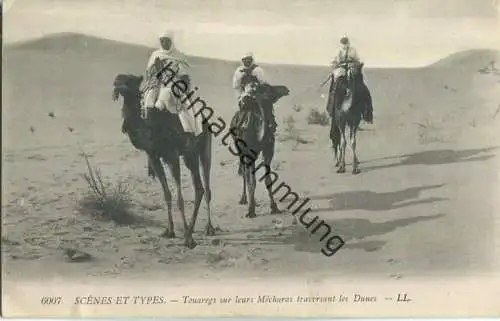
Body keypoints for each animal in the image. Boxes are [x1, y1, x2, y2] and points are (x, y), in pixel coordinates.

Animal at [112, 72, 214, 248]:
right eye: (117, 79)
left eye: (130, 80)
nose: (116, 85)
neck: (152, 129)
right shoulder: (154, 157)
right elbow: (167, 194)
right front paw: (170, 231)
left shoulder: (172, 155)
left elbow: (180, 198)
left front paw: (187, 239)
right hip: (189, 155)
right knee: (200, 188)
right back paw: (193, 228)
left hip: (200, 151)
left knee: (205, 188)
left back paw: (207, 229)